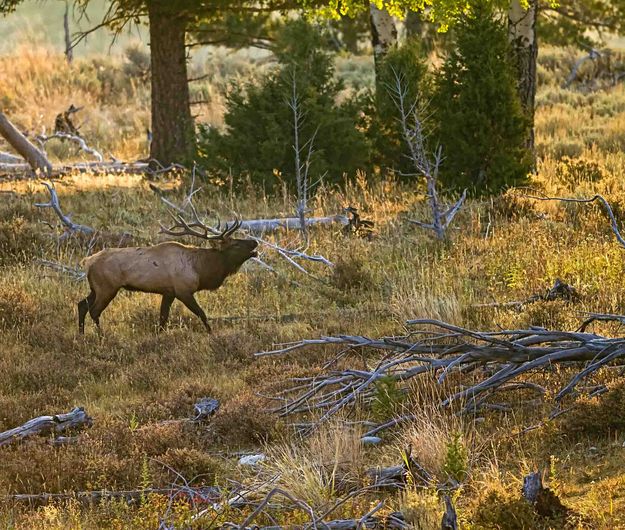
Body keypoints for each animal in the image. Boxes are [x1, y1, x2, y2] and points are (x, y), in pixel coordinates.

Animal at [78, 213, 258, 330]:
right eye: (235, 244)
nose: (254, 242)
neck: (200, 270)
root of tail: (87, 262)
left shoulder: (168, 292)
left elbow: (163, 319)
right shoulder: (182, 290)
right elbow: (202, 314)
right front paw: (211, 333)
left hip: (96, 288)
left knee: (81, 305)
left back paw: (81, 335)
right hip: (107, 287)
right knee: (94, 311)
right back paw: (101, 336)